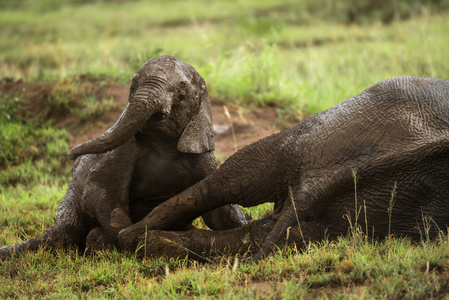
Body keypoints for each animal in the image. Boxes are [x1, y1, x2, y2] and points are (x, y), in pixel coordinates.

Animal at [0, 55, 245, 258]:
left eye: (182, 93)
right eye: (133, 86)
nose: (71, 153)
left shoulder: (203, 158)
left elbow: (218, 211)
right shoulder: (123, 151)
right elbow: (104, 191)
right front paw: (129, 238)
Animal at [117, 76, 448, 262]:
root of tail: (314, 180)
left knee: (260, 229)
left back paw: (137, 239)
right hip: (323, 130)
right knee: (235, 178)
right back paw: (131, 235)